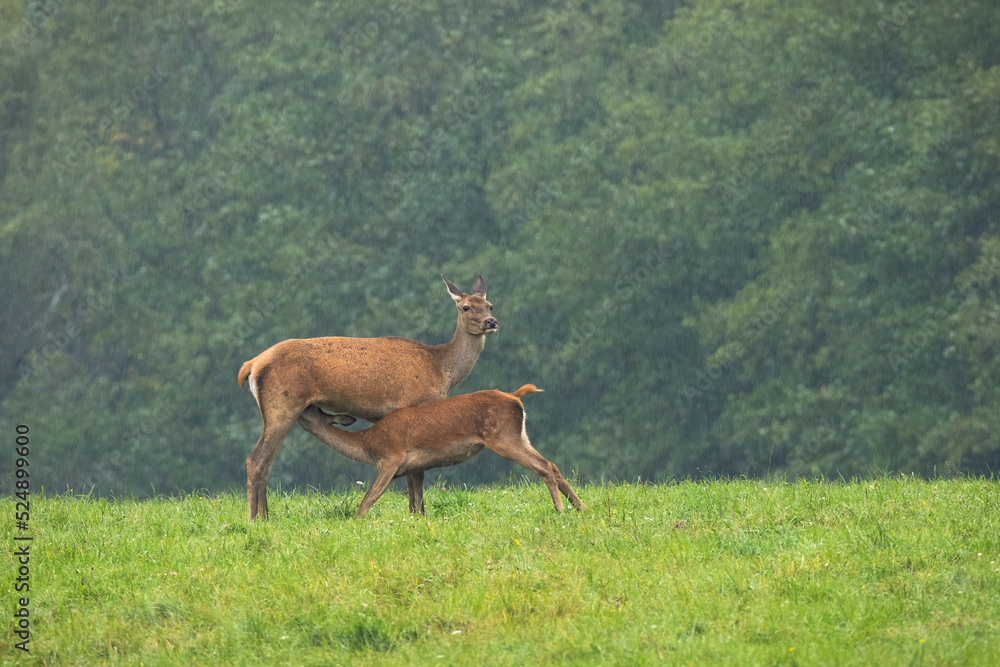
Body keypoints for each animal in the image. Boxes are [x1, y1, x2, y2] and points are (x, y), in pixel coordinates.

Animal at [237, 275, 497, 520]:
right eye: (465, 307)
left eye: (490, 305)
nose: (491, 322)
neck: (443, 371)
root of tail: (252, 364)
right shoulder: (415, 404)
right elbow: (417, 473)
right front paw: (418, 514)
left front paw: (415, 513)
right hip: (282, 405)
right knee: (255, 461)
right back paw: (252, 519)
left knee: (267, 463)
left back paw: (265, 516)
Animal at [296, 384, 585, 517]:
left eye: (313, 409)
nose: (298, 408)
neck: (368, 445)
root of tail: (516, 397)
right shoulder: (412, 467)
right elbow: (416, 505)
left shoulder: (391, 458)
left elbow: (369, 497)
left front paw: (354, 522)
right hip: (520, 436)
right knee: (553, 465)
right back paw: (580, 507)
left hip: (502, 438)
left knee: (544, 467)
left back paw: (560, 510)